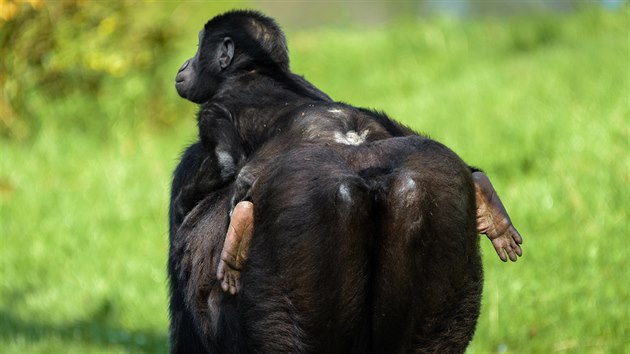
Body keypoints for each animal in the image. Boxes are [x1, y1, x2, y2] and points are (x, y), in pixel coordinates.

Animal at [168, 9, 524, 352]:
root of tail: (366, 171)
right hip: (437, 191)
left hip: (305, 211)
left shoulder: (212, 116)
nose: (185, 63)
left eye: (198, 46)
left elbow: (222, 160)